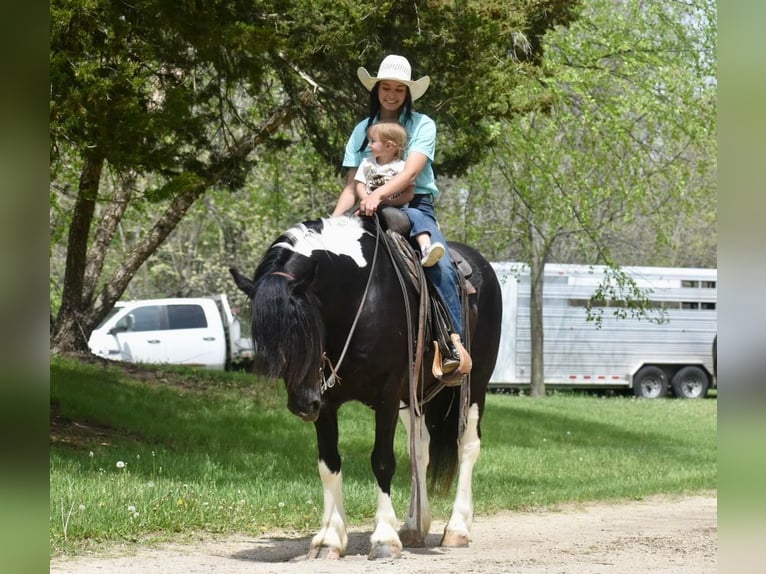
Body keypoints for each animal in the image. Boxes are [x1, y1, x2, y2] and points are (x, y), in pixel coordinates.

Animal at [231, 214, 508, 560]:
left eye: (307, 327)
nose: (302, 405)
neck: (359, 296)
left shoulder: (386, 392)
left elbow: (382, 460)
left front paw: (384, 539)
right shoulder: (327, 400)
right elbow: (329, 464)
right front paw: (328, 540)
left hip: (475, 385)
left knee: (467, 446)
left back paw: (456, 529)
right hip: (413, 397)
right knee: (420, 449)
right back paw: (414, 526)